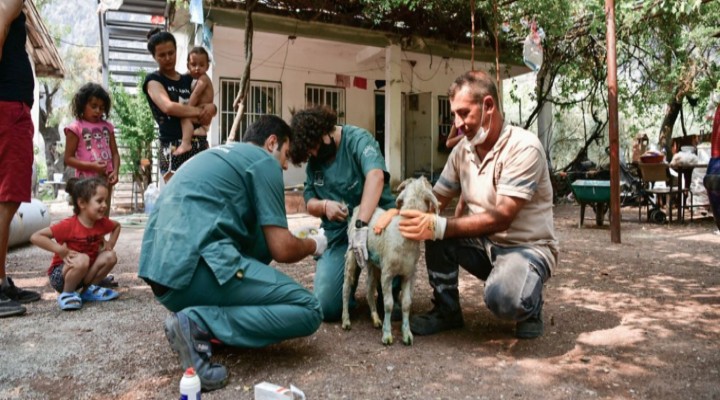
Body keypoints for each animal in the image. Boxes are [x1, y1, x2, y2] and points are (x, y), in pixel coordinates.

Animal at [342, 177, 438, 346]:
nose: (425, 178)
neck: (404, 235)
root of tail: (358, 208)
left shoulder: (409, 274)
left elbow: (406, 304)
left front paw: (407, 334)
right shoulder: (387, 274)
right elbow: (388, 304)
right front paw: (387, 335)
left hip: (373, 262)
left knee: (369, 289)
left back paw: (375, 319)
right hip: (353, 253)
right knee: (346, 287)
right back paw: (346, 320)